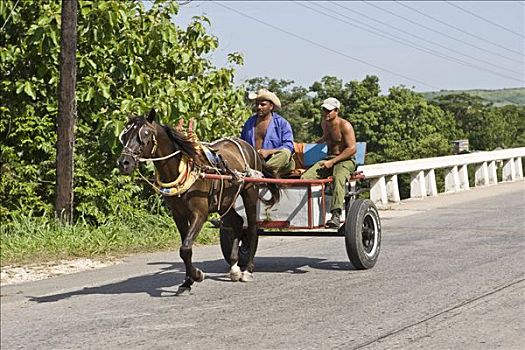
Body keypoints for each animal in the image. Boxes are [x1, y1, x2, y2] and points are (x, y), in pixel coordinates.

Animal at [116, 109, 280, 296]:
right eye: (125, 135)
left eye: (145, 134)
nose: (124, 163)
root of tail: (250, 147)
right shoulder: (178, 215)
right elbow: (185, 249)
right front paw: (187, 282)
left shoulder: (199, 214)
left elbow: (185, 248)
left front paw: (196, 275)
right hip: (225, 201)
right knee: (237, 223)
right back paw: (234, 267)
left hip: (250, 191)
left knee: (252, 228)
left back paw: (247, 270)